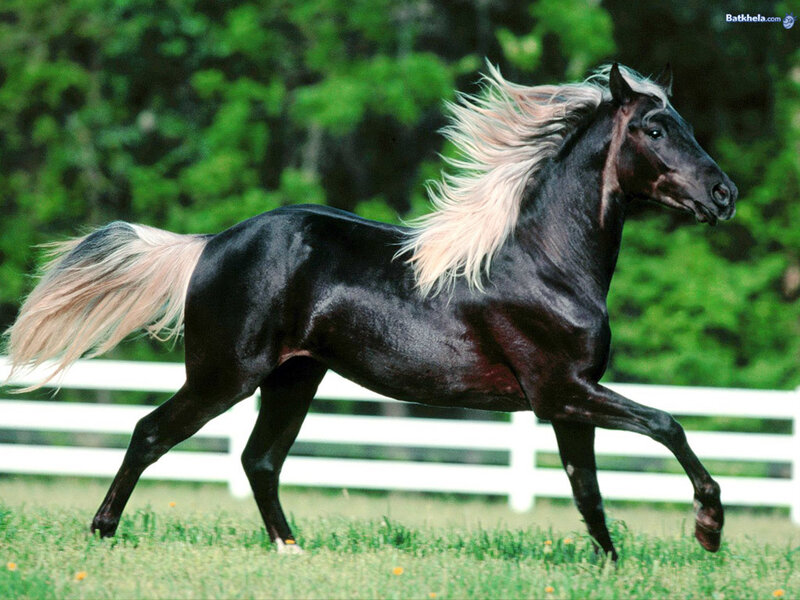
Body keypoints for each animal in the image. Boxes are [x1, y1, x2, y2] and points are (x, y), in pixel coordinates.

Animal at [3, 64, 737, 560]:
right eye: (654, 127)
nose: (724, 195)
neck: (546, 263)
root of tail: (209, 244)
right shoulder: (561, 390)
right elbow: (667, 425)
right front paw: (708, 529)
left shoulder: (566, 400)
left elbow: (588, 490)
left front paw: (612, 565)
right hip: (224, 376)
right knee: (151, 433)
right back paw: (102, 532)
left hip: (293, 377)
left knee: (259, 461)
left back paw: (292, 549)